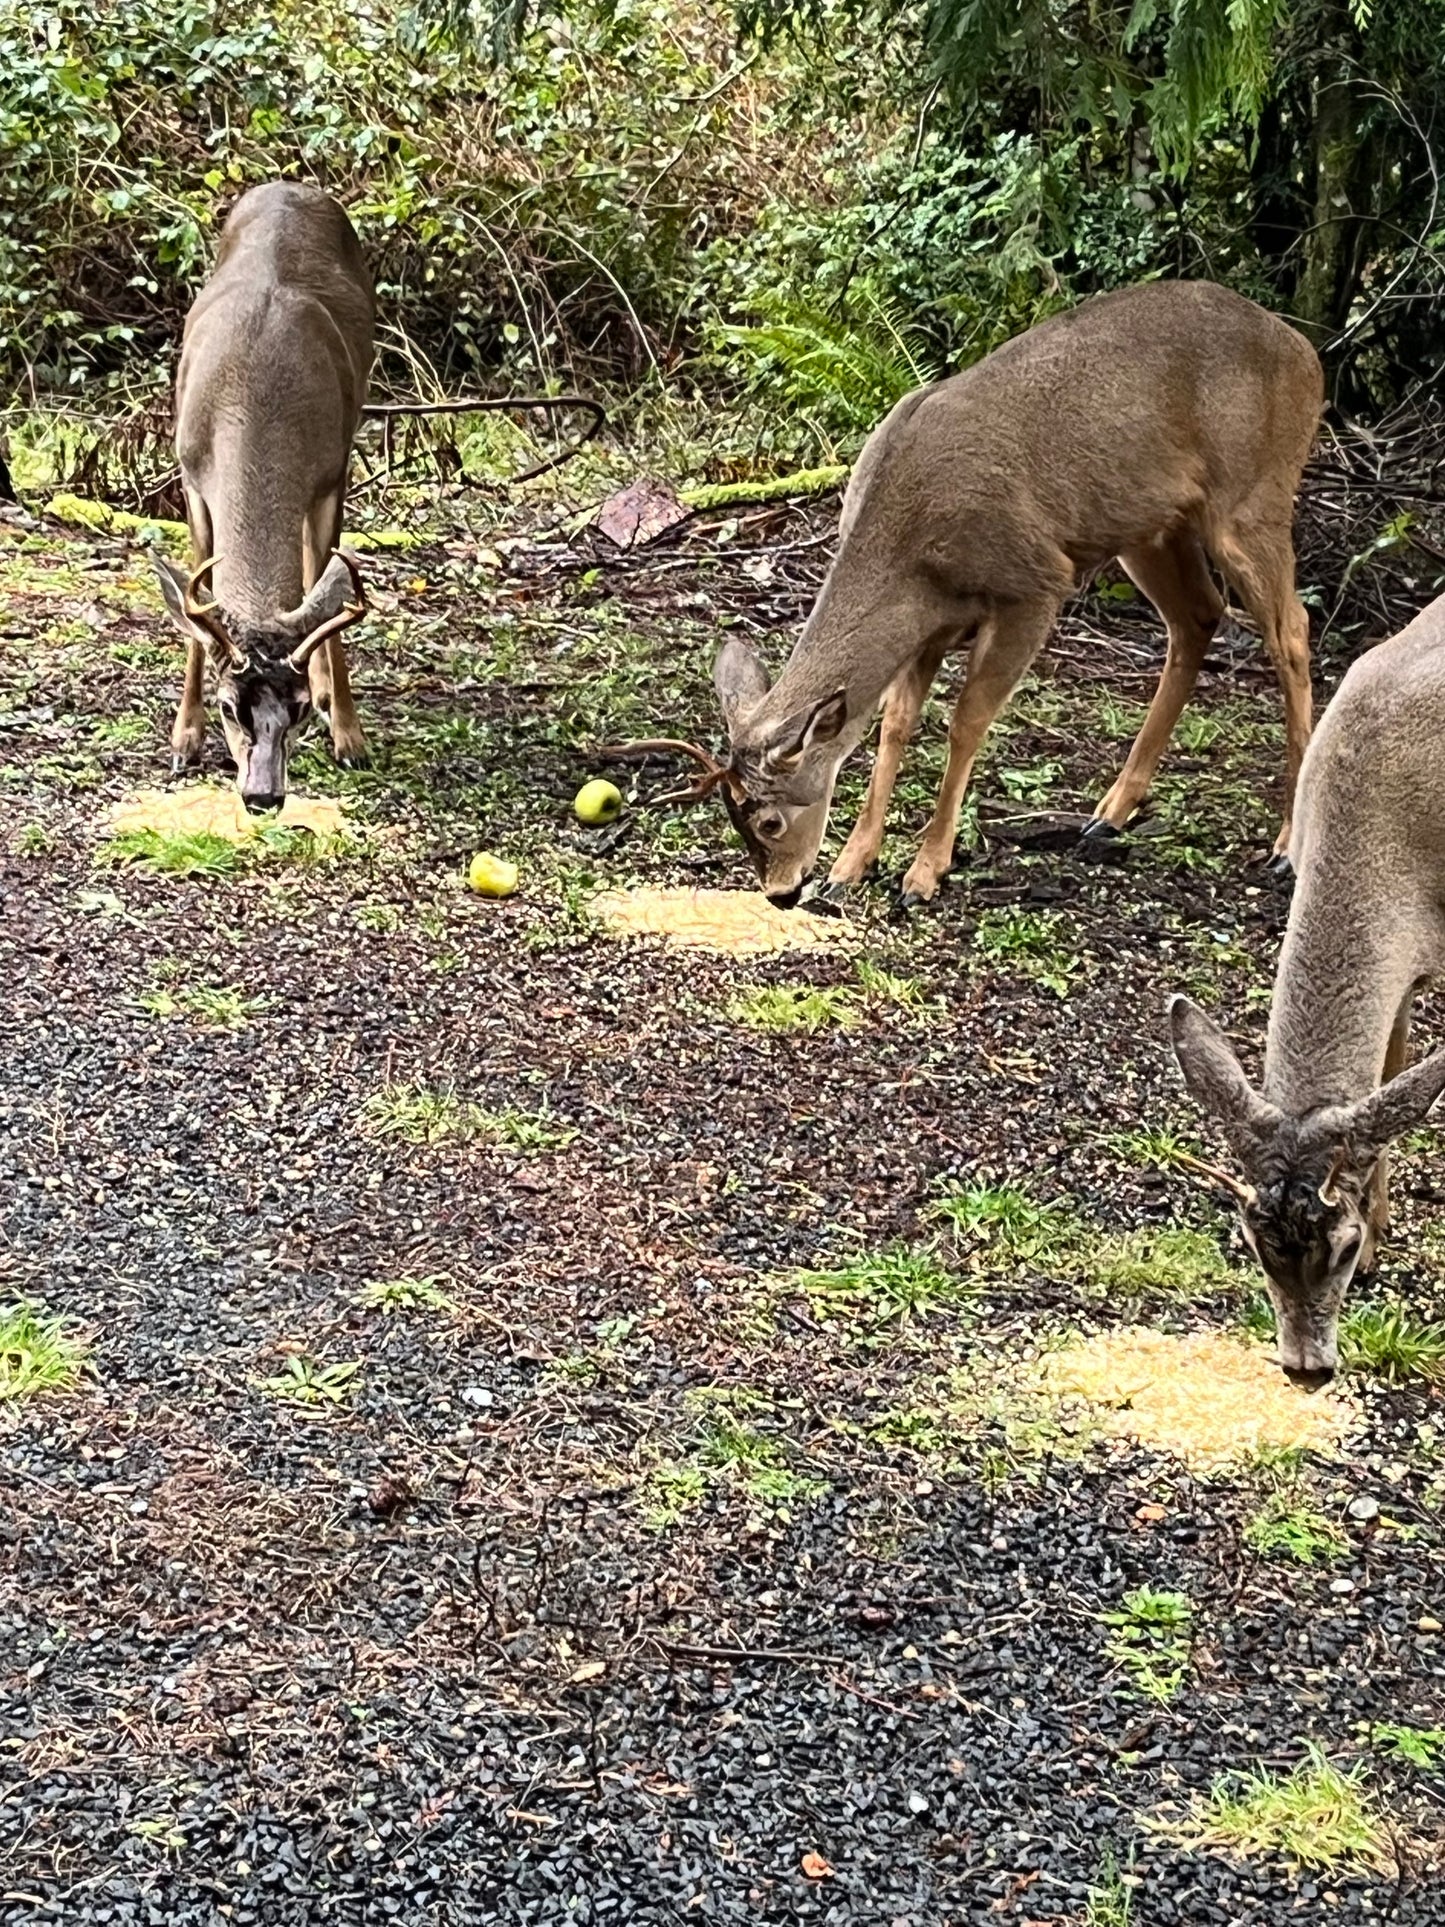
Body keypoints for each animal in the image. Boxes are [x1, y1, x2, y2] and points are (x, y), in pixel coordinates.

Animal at [152, 181, 375, 812]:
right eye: (230, 706)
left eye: (293, 712)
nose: (262, 794)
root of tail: (290, 185)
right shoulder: (191, 475)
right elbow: (197, 602)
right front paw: (183, 738)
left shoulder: (332, 471)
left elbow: (327, 585)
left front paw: (348, 732)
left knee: (310, 571)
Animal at [621, 281, 1322, 908]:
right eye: (733, 819)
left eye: (768, 820)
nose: (781, 892)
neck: (911, 555)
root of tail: (1305, 353)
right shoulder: (927, 626)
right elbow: (894, 726)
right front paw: (851, 865)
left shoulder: (1033, 583)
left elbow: (965, 723)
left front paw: (924, 872)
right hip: (1149, 527)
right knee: (1197, 616)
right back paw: (1110, 811)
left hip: (1251, 494)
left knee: (1291, 627)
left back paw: (1287, 845)